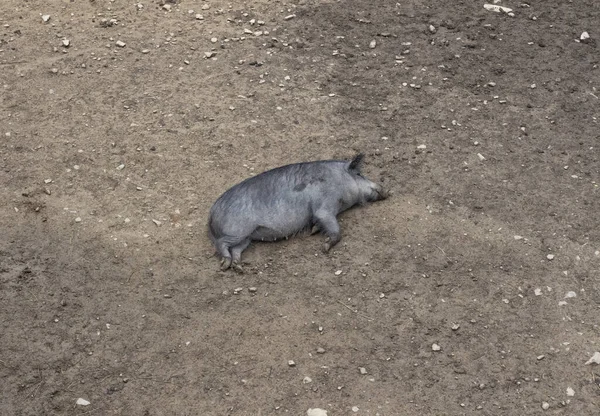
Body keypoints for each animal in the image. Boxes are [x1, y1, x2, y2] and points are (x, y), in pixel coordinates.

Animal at [209, 153, 386, 270]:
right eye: (359, 174)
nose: (386, 189)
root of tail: (211, 216)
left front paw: (314, 230)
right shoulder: (324, 207)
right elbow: (335, 230)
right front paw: (325, 248)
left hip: (246, 237)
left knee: (236, 249)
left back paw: (239, 267)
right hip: (237, 231)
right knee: (221, 243)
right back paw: (225, 265)